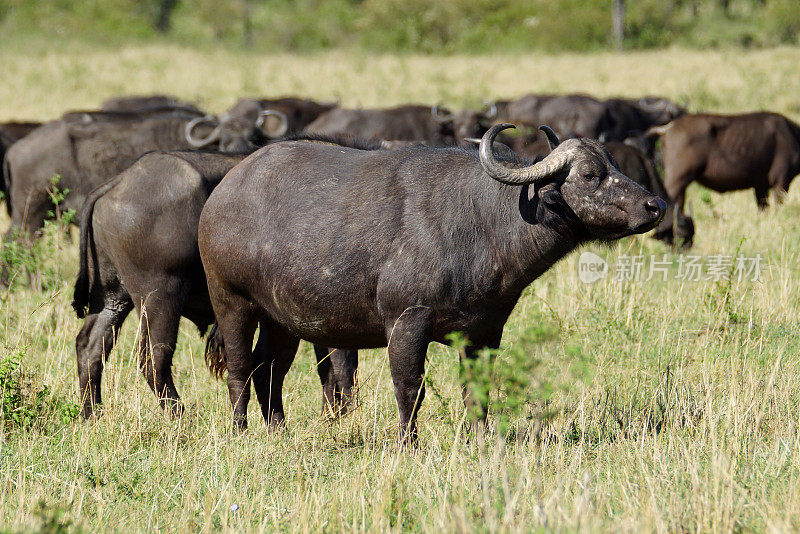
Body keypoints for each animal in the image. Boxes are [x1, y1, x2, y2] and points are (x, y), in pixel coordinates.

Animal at [72, 146, 360, 418]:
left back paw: (91, 413)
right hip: (160, 295)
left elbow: (327, 367)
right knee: (153, 357)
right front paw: (341, 415)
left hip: (113, 297)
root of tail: (119, 181)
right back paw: (179, 415)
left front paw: (330, 414)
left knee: (90, 347)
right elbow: (343, 364)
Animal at [197, 124, 664, 440]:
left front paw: (480, 439)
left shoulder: (485, 334)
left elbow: (476, 392)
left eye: (616, 164)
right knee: (240, 369)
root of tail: (224, 191)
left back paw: (278, 430)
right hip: (232, 302)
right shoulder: (407, 322)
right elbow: (410, 389)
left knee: (269, 370)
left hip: (283, 320)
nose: (655, 205)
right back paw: (240, 431)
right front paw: (409, 444)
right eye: (588, 174)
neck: (482, 222)